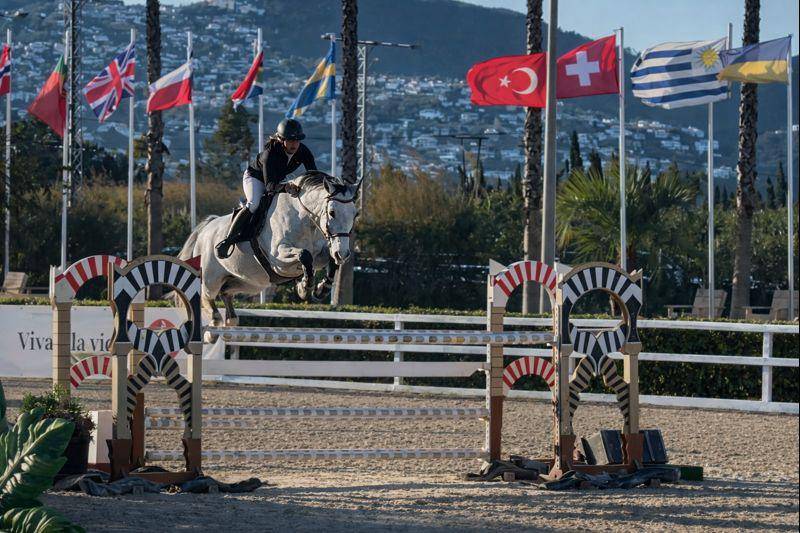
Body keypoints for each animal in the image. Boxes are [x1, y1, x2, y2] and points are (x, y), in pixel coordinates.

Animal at [178, 171, 359, 329]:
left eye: (355, 214)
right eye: (332, 212)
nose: (343, 254)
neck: (304, 220)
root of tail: (206, 228)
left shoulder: (321, 254)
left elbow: (330, 261)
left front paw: (321, 288)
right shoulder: (279, 259)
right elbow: (304, 255)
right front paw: (305, 287)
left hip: (248, 282)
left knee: (226, 292)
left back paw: (230, 320)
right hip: (211, 278)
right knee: (205, 295)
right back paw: (215, 322)